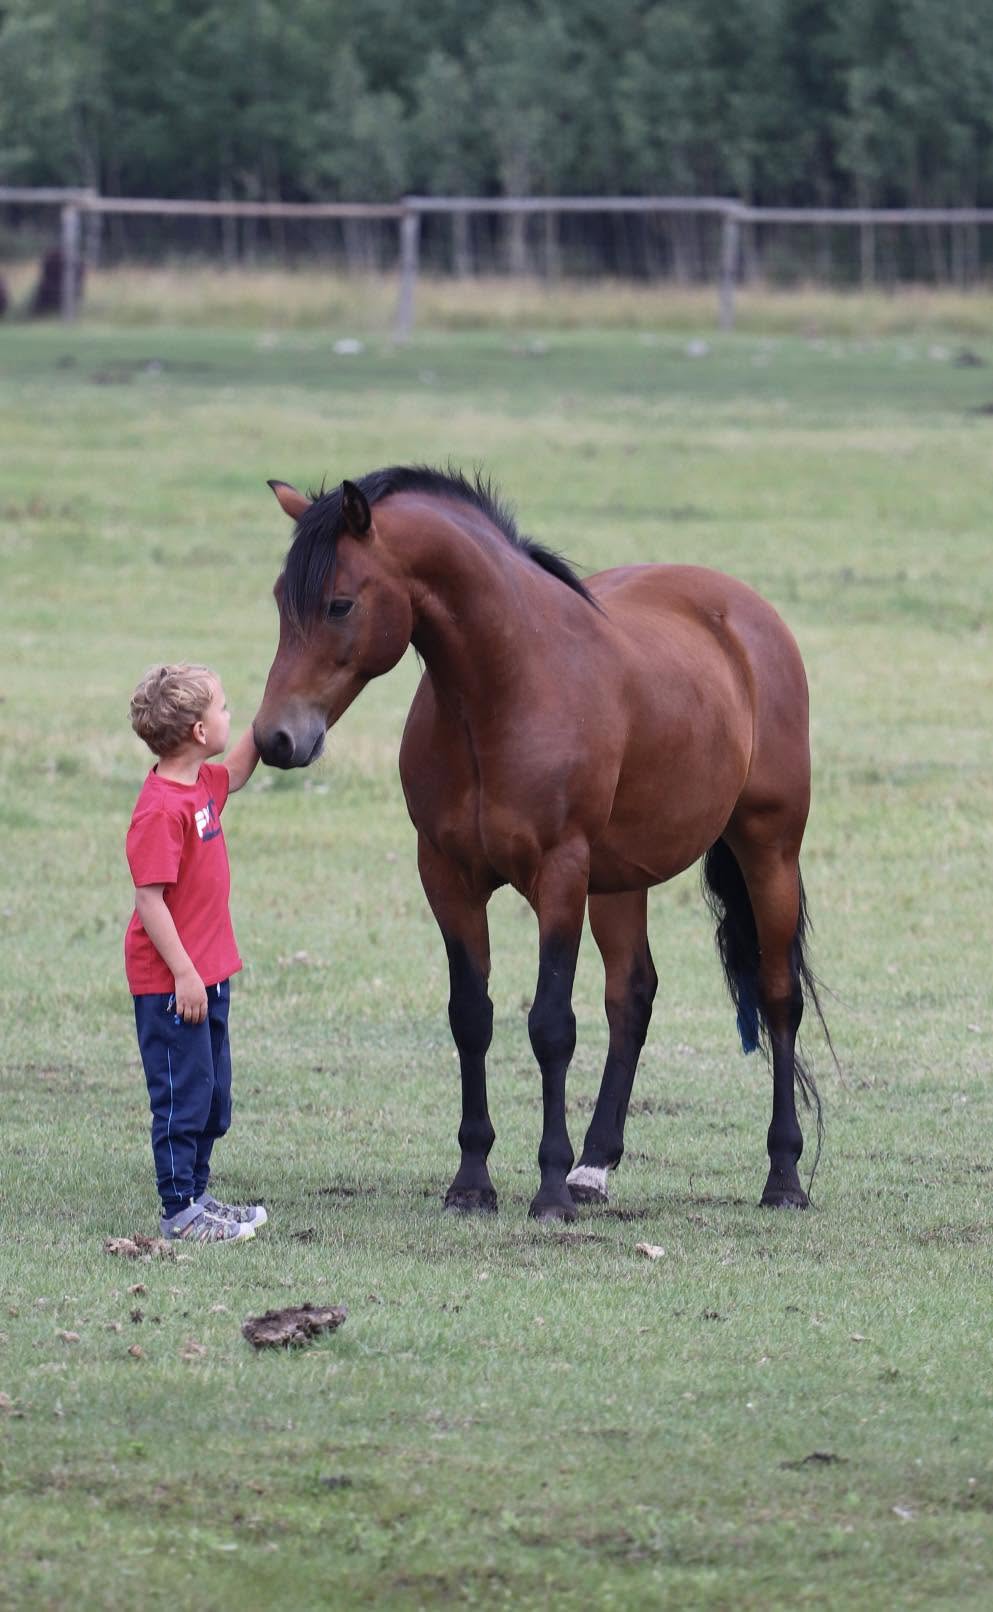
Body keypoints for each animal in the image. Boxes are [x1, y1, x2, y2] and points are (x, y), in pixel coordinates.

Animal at [253, 466, 830, 1221]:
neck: (502, 690)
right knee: (632, 997)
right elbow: (471, 1017)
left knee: (777, 995)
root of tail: (746, 614)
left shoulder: (559, 875)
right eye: (280, 600)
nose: (275, 738)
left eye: (340, 604)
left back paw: (781, 1176)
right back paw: (595, 1167)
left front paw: (549, 1188)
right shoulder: (447, 877)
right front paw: (472, 1181)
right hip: (619, 880)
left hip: (768, 848)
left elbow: (551, 1024)